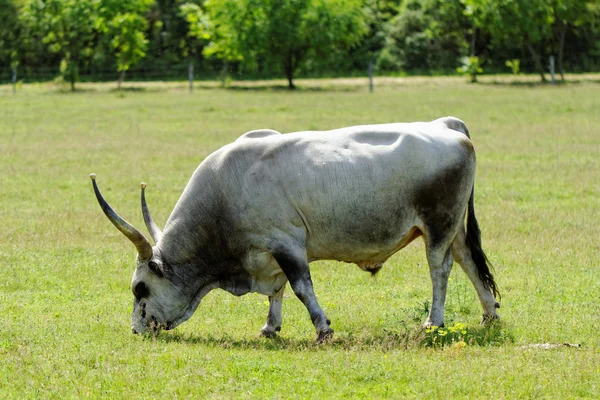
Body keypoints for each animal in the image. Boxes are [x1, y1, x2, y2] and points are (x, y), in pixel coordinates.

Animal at [91, 117, 500, 342]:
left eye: (140, 288)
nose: (136, 329)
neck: (226, 191)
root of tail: (446, 126)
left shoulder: (286, 244)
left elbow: (302, 288)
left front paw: (323, 328)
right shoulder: (269, 253)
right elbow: (277, 291)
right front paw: (270, 327)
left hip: (438, 224)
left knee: (440, 269)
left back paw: (434, 321)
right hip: (454, 227)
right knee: (467, 260)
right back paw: (490, 314)